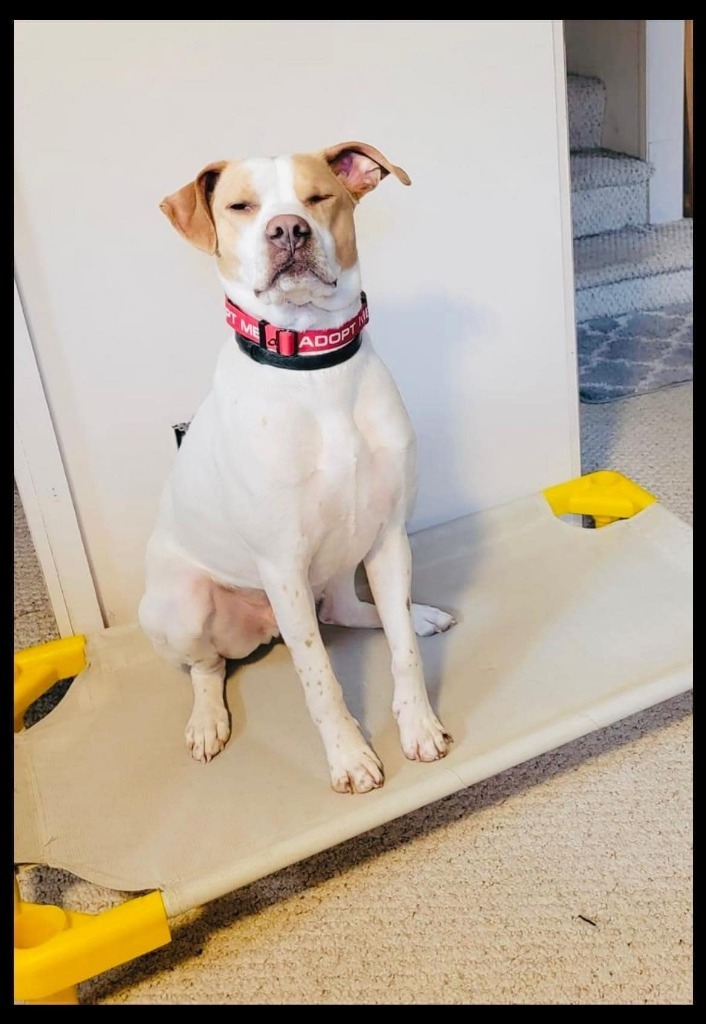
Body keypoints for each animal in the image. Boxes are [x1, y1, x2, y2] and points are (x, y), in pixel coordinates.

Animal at [140, 140, 454, 790]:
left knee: (347, 608)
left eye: (318, 197)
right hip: (186, 605)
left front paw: (418, 725)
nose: (288, 229)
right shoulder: (280, 562)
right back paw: (207, 722)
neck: (314, 369)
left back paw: (418, 614)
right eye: (240, 206)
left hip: (343, 554)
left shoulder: (388, 535)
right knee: (207, 668)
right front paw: (350, 757)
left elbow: (404, 652)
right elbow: (319, 680)